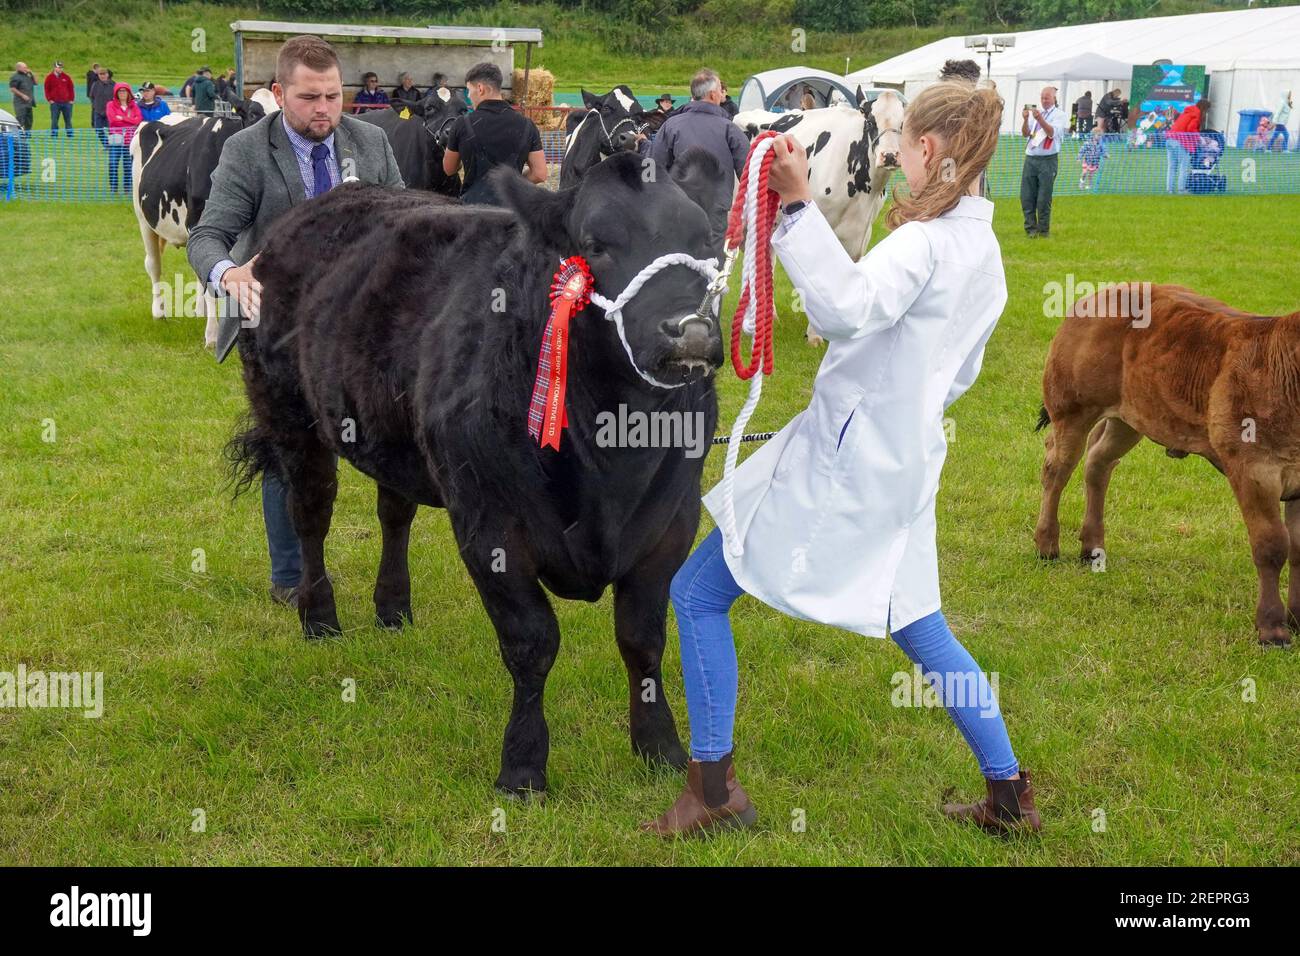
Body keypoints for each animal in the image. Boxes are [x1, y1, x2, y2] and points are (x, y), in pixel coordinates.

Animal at [130, 87, 275, 348]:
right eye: (253, 114)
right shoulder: (200, 221)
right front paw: (213, 336)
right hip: (144, 218)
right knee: (154, 264)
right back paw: (160, 312)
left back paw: (199, 311)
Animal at [224, 149, 733, 790]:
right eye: (595, 244)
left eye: (707, 239)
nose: (690, 330)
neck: (611, 456)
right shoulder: (489, 524)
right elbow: (532, 642)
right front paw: (522, 766)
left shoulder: (670, 521)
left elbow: (642, 639)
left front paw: (660, 749)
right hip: (291, 417)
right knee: (310, 515)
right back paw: (319, 620)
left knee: (394, 513)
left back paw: (393, 609)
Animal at [733, 87, 904, 345]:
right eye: (870, 121)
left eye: (903, 122)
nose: (890, 156)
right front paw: (814, 336)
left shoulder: (863, 232)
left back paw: (768, 316)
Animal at [1034, 280, 1300, 647]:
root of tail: (1106, 290)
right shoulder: (1254, 470)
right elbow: (1272, 545)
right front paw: (1272, 628)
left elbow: (1299, 548)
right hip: (1071, 410)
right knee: (1056, 470)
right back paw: (1046, 545)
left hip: (1129, 418)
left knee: (1098, 462)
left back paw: (1092, 547)